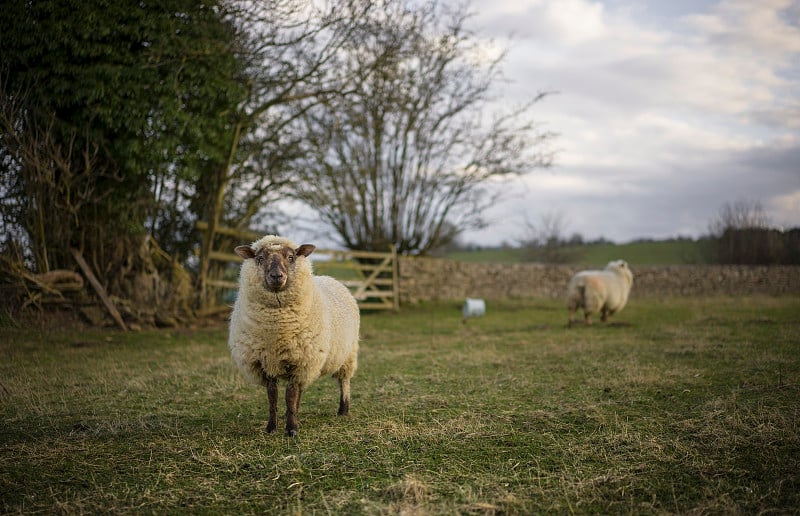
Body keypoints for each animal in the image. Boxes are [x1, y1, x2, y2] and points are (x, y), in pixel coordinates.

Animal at [228, 236, 360, 438]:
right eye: (260, 258)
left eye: (291, 257)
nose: (276, 276)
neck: (276, 330)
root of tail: (331, 279)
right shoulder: (266, 363)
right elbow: (273, 397)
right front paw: (271, 427)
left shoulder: (299, 361)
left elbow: (290, 396)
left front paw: (291, 429)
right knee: (301, 388)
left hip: (347, 354)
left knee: (343, 381)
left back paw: (343, 410)